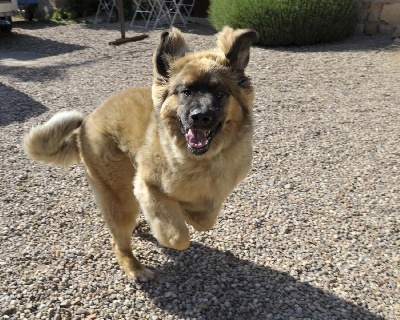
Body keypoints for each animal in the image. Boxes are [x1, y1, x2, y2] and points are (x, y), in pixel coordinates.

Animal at [22, 26, 260, 280]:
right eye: (185, 92)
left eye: (219, 93)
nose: (200, 117)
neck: (202, 161)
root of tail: (85, 124)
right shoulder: (148, 185)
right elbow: (177, 236)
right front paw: (179, 216)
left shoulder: (217, 194)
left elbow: (204, 220)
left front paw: (188, 212)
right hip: (119, 195)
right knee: (119, 240)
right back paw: (134, 267)